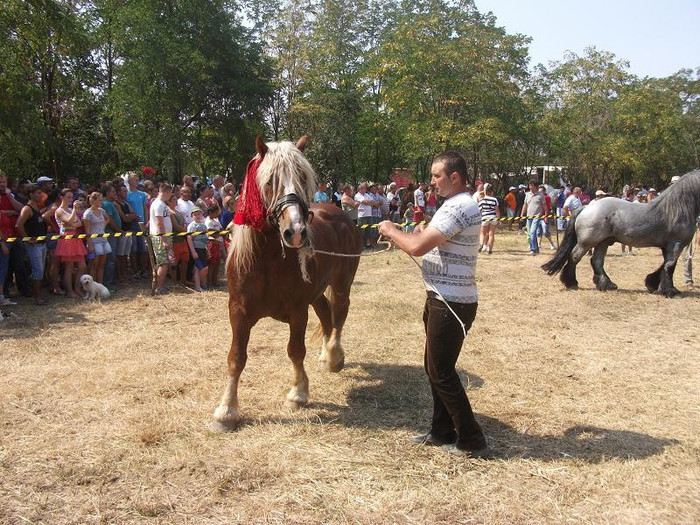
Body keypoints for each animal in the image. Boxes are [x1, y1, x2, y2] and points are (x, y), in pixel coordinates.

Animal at [213, 135, 360, 426]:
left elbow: (295, 350)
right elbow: (236, 357)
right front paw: (227, 409)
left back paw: (334, 356)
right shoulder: (238, 311)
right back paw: (326, 354)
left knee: (338, 315)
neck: (266, 260)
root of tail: (338, 212)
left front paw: (298, 394)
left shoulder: (297, 310)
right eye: (270, 181)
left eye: (302, 177)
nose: (296, 231)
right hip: (317, 292)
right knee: (326, 313)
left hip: (341, 284)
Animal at [540, 170, 700, 296]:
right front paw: (670, 291)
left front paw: (653, 284)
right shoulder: (676, 245)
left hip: (603, 242)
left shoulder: (668, 247)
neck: (676, 210)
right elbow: (670, 266)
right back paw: (571, 282)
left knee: (596, 261)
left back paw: (607, 284)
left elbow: (665, 265)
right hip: (587, 242)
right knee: (574, 257)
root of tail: (586, 207)